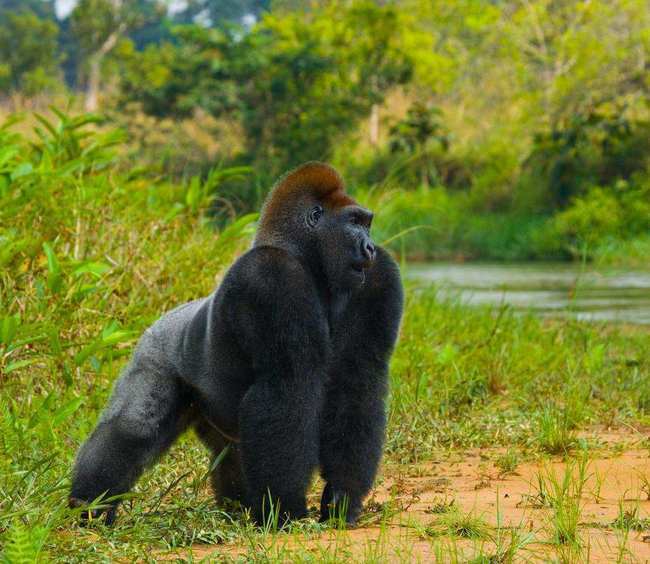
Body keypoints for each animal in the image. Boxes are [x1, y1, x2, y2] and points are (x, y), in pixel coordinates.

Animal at [72, 162, 404, 524]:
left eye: (366, 224)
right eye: (355, 223)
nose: (370, 247)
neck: (303, 256)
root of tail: (166, 317)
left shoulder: (378, 276)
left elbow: (356, 381)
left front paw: (342, 496)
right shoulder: (271, 275)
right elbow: (288, 384)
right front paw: (285, 507)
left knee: (229, 450)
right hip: (155, 351)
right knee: (133, 429)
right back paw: (89, 506)